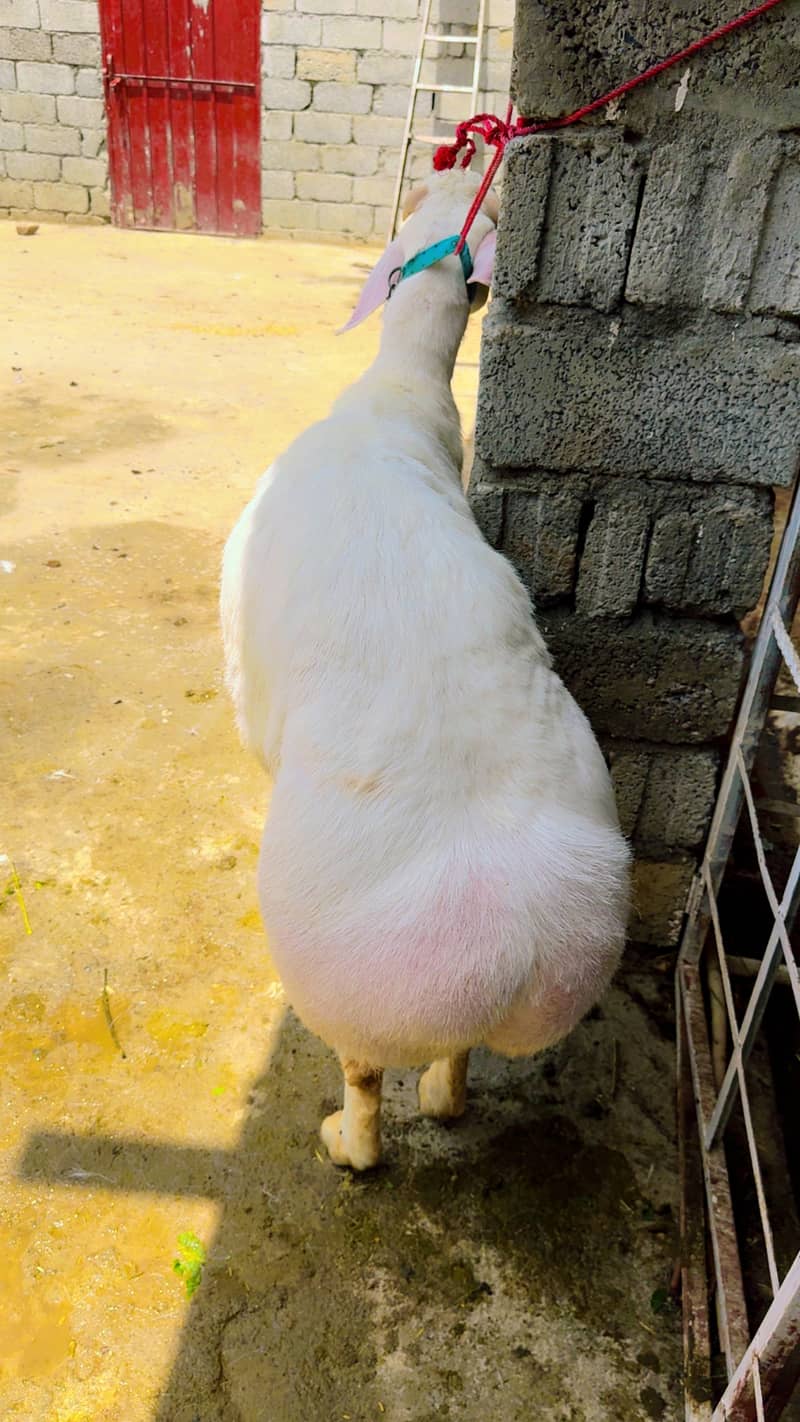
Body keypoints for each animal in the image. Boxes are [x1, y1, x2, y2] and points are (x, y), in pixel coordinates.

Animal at [220, 167, 630, 1171]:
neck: (397, 395)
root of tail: (512, 950)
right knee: (452, 1080)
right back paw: (446, 1102)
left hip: (348, 996)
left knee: (369, 1089)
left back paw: (342, 1143)